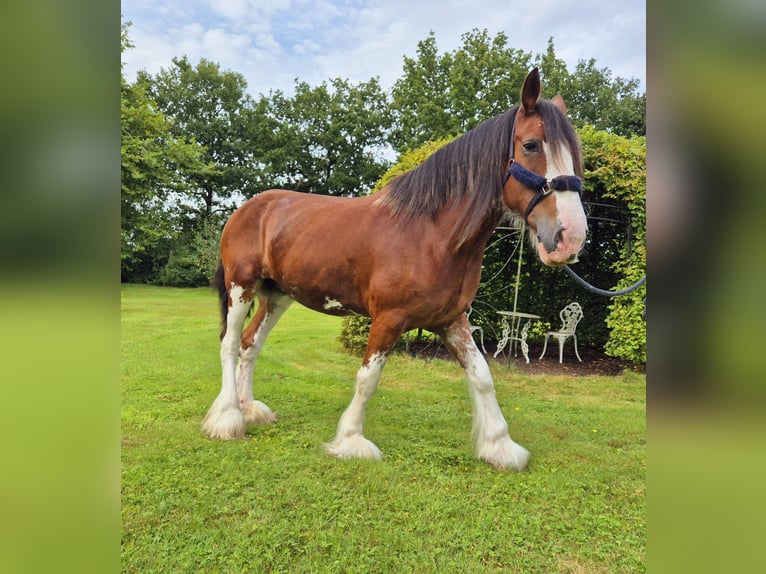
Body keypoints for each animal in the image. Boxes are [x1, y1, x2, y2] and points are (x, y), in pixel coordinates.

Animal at [204, 68, 588, 472]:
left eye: (575, 156)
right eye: (530, 145)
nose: (570, 237)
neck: (431, 236)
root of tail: (248, 208)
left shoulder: (451, 320)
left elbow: (482, 376)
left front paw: (500, 446)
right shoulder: (388, 318)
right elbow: (368, 377)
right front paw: (352, 440)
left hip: (277, 295)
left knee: (250, 345)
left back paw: (250, 410)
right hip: (240, 286)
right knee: (230, 344)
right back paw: (228, 419)